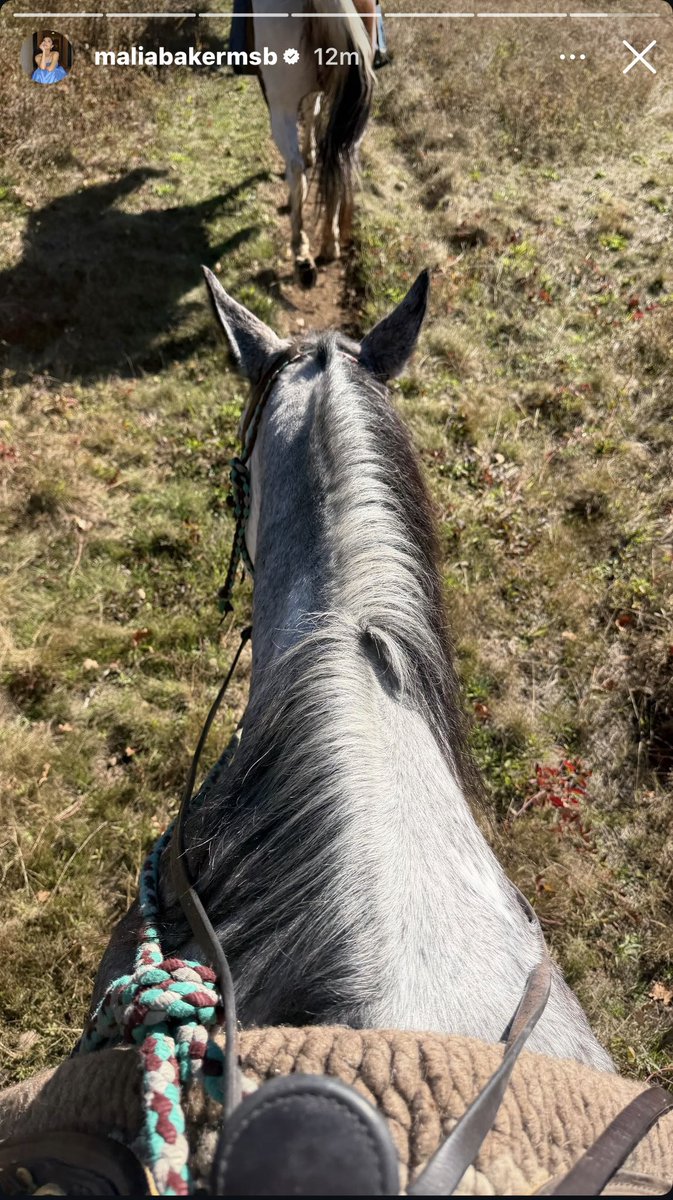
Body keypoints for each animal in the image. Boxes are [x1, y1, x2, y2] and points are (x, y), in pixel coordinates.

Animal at [250, 0, 375, 286]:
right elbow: (312, 109)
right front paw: (311, 153)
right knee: (342, 162)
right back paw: (330, 243)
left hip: (281, 106)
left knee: (296, 169)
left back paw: (301, 252)